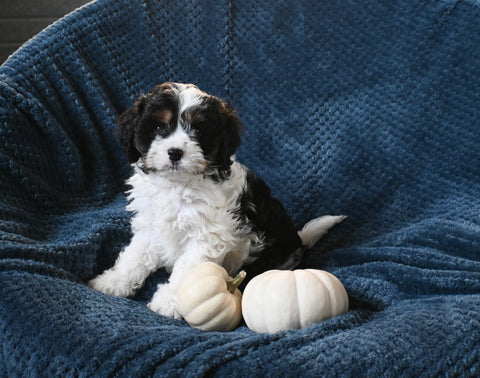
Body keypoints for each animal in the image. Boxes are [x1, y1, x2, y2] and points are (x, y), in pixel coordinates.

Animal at [89, 82, 344, 318]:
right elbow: (134, 257)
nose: (174, 152)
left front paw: (169, 302)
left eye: (198, 131)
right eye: (159, 126)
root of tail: (298, 240)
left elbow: (187, 270)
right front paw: (112, 282)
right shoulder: (152, 226)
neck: (178, 185)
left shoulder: (208, 236)